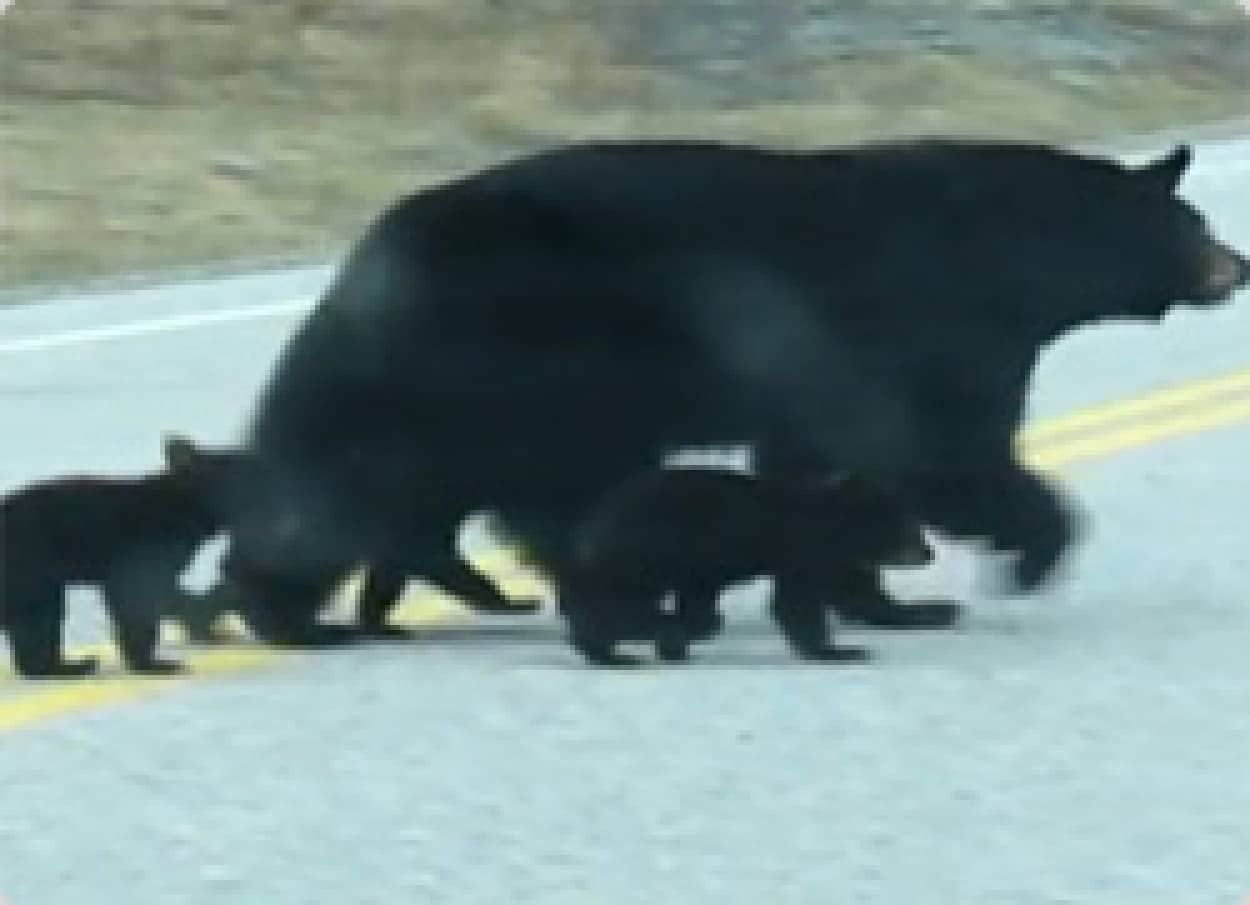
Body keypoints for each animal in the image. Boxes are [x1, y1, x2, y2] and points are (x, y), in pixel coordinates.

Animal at [0, 434, 242, 679]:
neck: (182, 507)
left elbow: (172, 598)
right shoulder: (141, 560)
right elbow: (139, 607)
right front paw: (151, 664)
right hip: (31, 573)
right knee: (37, 626)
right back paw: (74, 666)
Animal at [557, 467, 937, 667]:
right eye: (910, 528)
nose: (929, 552)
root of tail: (590, 526)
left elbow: (858, 593)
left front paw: (933, 610)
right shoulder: (805, 552)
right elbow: (800, 602)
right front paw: (839, 651)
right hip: (649, 552)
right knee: (621, 602)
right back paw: (630, 642)